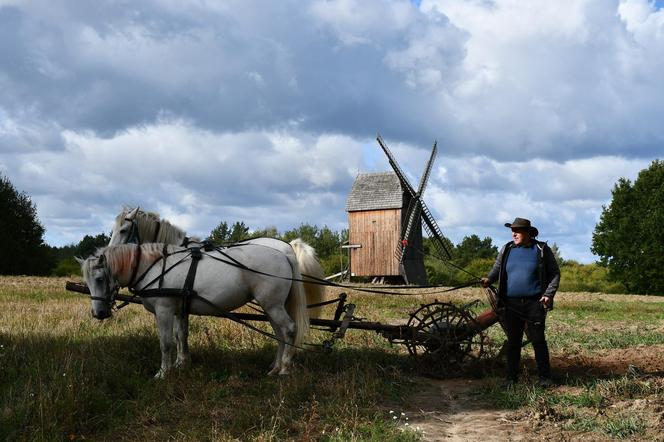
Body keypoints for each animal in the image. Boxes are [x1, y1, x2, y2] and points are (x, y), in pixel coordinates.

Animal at [78, 243, 308, 378]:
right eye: (87, 281)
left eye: (100, 279)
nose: (98, 313)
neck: (154, 267)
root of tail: (284, 254)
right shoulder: (180, 310)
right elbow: (181, 336)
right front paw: (181, 364)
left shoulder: (164, 310)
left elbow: (165, 343)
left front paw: (163, 372)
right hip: (271, 306)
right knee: (279, 334)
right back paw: (275, 367)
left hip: (272, 305)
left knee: (289, 329)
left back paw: (284, 368)